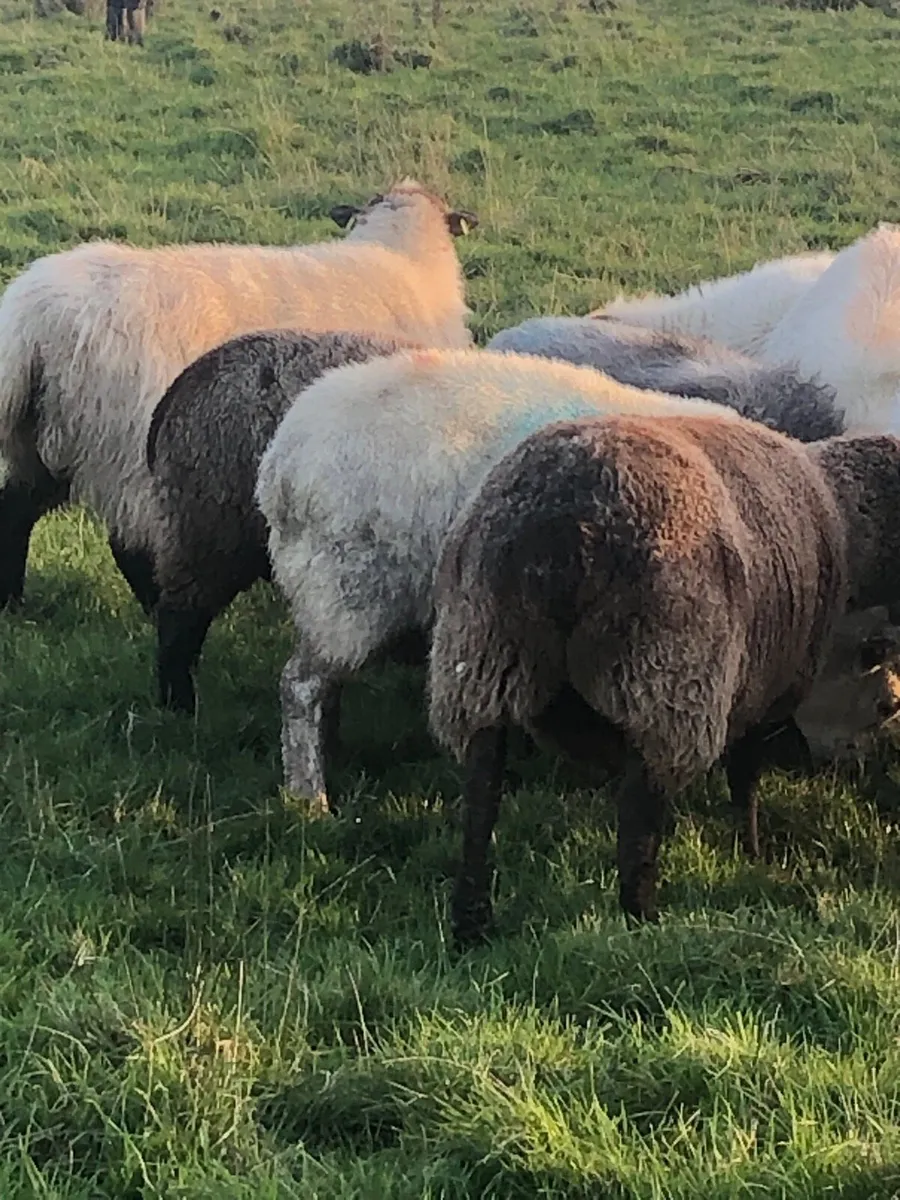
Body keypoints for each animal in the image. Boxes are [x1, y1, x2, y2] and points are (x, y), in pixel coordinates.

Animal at [0, 178, 477, 610]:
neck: (404, 258)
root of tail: (32, 318)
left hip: (48, 437)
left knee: (16, 510)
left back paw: (13, 604)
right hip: (124, 446)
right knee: (128, 544)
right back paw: (151, 607)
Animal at [426, 413, 900, 944]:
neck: (842, 515)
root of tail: (566, 523)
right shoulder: (764, 683)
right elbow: (745, 775)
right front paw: (752, 852)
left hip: (484, 654)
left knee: (481, 792)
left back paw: (471, 921)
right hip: (668, 673)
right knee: (640, 815)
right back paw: (642, 922)